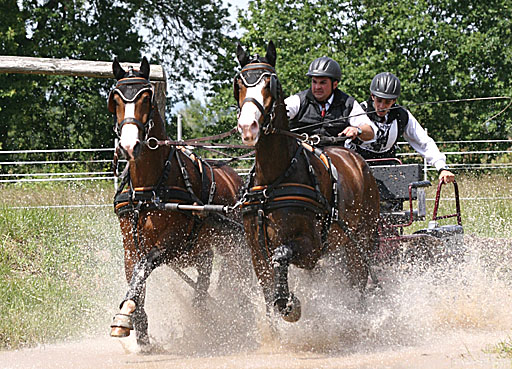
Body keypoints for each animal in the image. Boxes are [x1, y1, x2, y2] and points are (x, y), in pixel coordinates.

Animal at [107, 56, 246, 344]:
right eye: (114, 99)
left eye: (146, 98)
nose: (129, 145)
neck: (148, 189)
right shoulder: (130, 246)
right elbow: (135, 279)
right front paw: (140, 328)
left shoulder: (171, 242)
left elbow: (143, 268)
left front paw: (124, 316)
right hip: (202, 250)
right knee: (204, 281)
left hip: (232, 246)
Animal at [235, 41, 380, 320]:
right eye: (239, 83)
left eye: (270, 83)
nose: (248, 127)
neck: (274, 179)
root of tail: (360, 165)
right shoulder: (257, 252)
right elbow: (268, 294)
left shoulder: (311, 249)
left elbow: (281, 256)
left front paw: (289, 304)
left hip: (360, 241)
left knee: (358, 283)